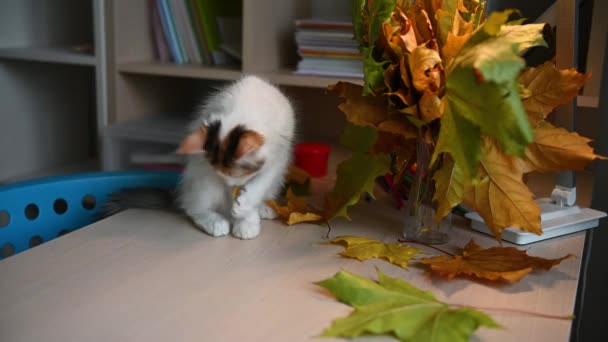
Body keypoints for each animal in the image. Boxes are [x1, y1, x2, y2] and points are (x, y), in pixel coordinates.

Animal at [175, 76, 296, 239]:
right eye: (222, 175)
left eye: (235, 174)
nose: (232, 186)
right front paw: (241, 210)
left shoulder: (277, 160)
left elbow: (259, 185)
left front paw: (244, 209)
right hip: (202, 178)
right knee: (194, 206)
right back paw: (216, 221)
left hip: (277, 180)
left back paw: (256, 212)